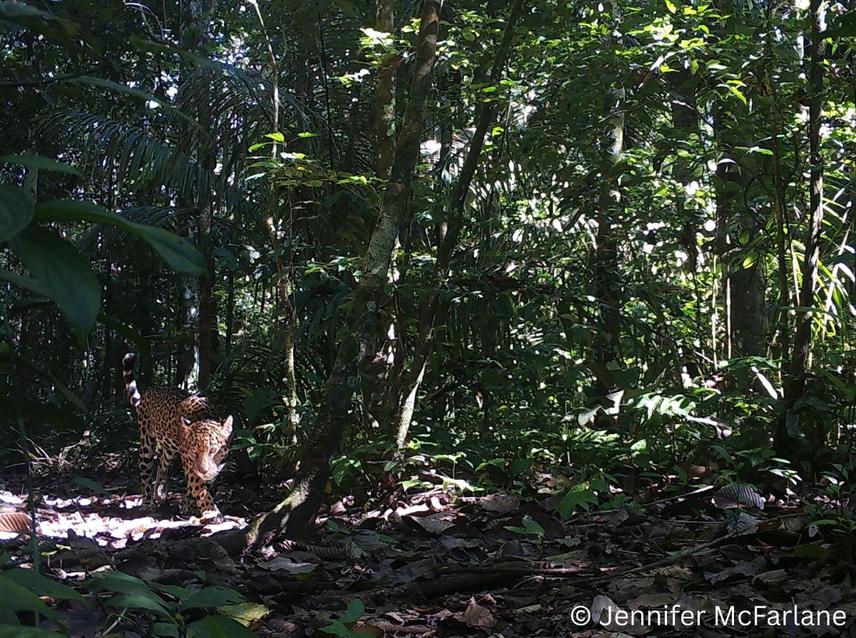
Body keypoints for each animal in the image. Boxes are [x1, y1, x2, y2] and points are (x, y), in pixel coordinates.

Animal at [122, 352, 232, 519]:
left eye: (213, 450)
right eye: (194, 451)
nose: (204, 471)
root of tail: (149, 392)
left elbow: (195, 488)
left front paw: (190, 506)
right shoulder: (190, 465)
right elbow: (200, 490)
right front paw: (211, 512)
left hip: (170, 449)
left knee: (162, 462)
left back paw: (160, 493)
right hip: (147, 443)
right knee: (145, 471)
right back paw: (148, 502)